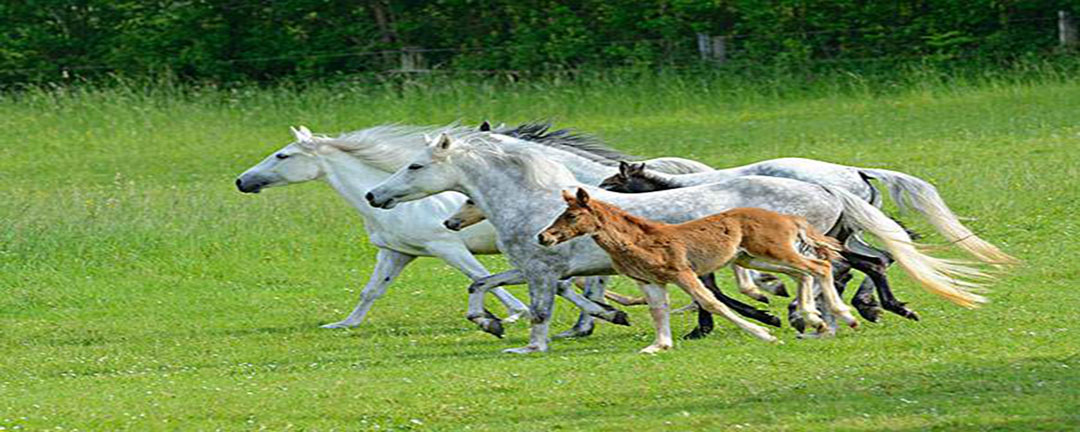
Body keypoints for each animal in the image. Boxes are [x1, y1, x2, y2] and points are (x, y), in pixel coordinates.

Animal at [539, 189, 854, 352]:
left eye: (572, 215)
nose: (544, 237)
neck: (638, 241)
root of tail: (788, 218)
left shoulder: (683, 272)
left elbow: (711, 303)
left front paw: (764, 334)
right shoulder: (648, 281)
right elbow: (658, 310)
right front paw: (659, 345)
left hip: (772, 252)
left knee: (819, 266)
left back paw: (843, 317)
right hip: (751, 259)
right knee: (803, 273)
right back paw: (817, 321)